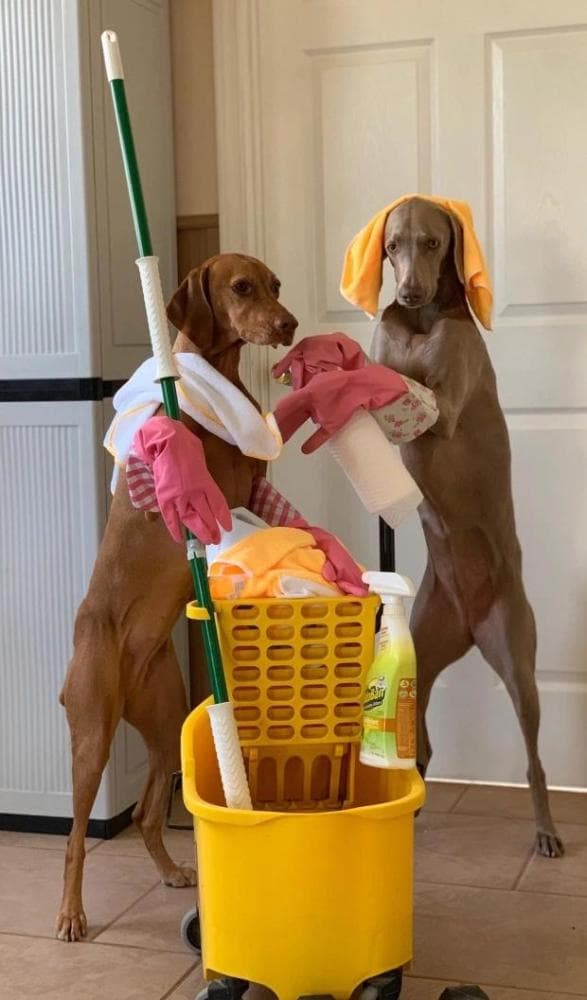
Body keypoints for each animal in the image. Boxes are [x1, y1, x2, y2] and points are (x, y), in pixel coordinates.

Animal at [56, 252, 298, 936]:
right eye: (241, 287)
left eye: (276, 286)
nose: (290, 325)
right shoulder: (213, 495)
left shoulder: (255, 485)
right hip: (92, 736)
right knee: (76, 838)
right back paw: (71, 914)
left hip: (165, 723)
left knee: (143, 814)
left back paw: (169, 870)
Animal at [372, 197, 564, 860]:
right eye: (393, 246)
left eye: (432, 243)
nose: (408, 290)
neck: (427, 317)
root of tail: (472, 621)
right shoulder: (390, 347)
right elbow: (378, 355)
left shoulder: (443, 402)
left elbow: (414, 388)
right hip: (423, 646)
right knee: (423, 735)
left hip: (518, 660)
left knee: (534, 761)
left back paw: (546, 830)